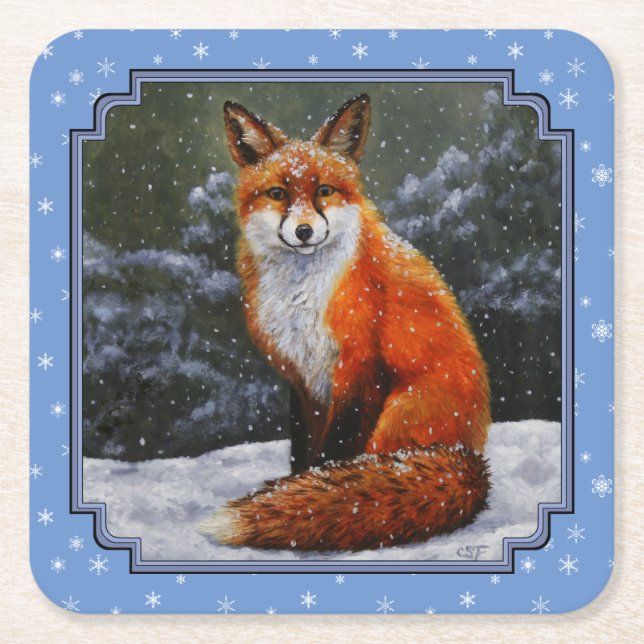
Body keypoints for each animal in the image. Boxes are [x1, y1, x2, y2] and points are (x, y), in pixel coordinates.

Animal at [200, 93, 492, 552]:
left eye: (324, 191)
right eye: (278, 193)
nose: (304, 231)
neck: (302, 296)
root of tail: (472, 459)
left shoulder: (360, 367)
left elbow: (333, 452)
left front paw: (305, 500)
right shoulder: (303, 376)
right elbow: (304, 450)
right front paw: (296, 489)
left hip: (398, 416)